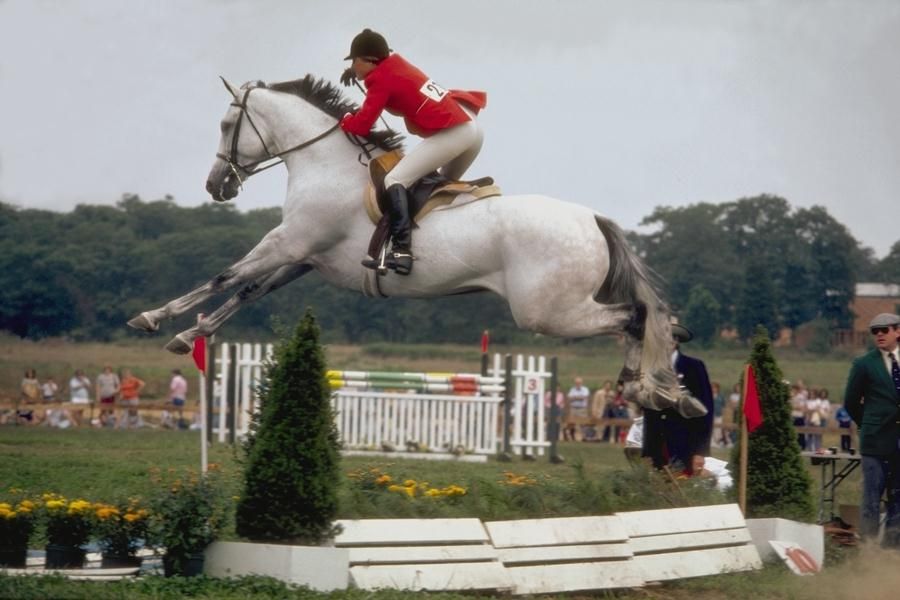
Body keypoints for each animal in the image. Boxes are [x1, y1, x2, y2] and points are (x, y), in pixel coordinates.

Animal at [128, 76, 704, 418]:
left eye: (228, 124)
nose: (217, 186)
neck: (325, 164)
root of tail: (593, 218)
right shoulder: (304, 258)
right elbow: (246, 291)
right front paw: (192, 335)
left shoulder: (287, 243)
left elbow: (225, 276)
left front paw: (154, 318)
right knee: (648, 321)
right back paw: (659, 392)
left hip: (548, 311)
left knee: (635, 318)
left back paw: (642, 389)